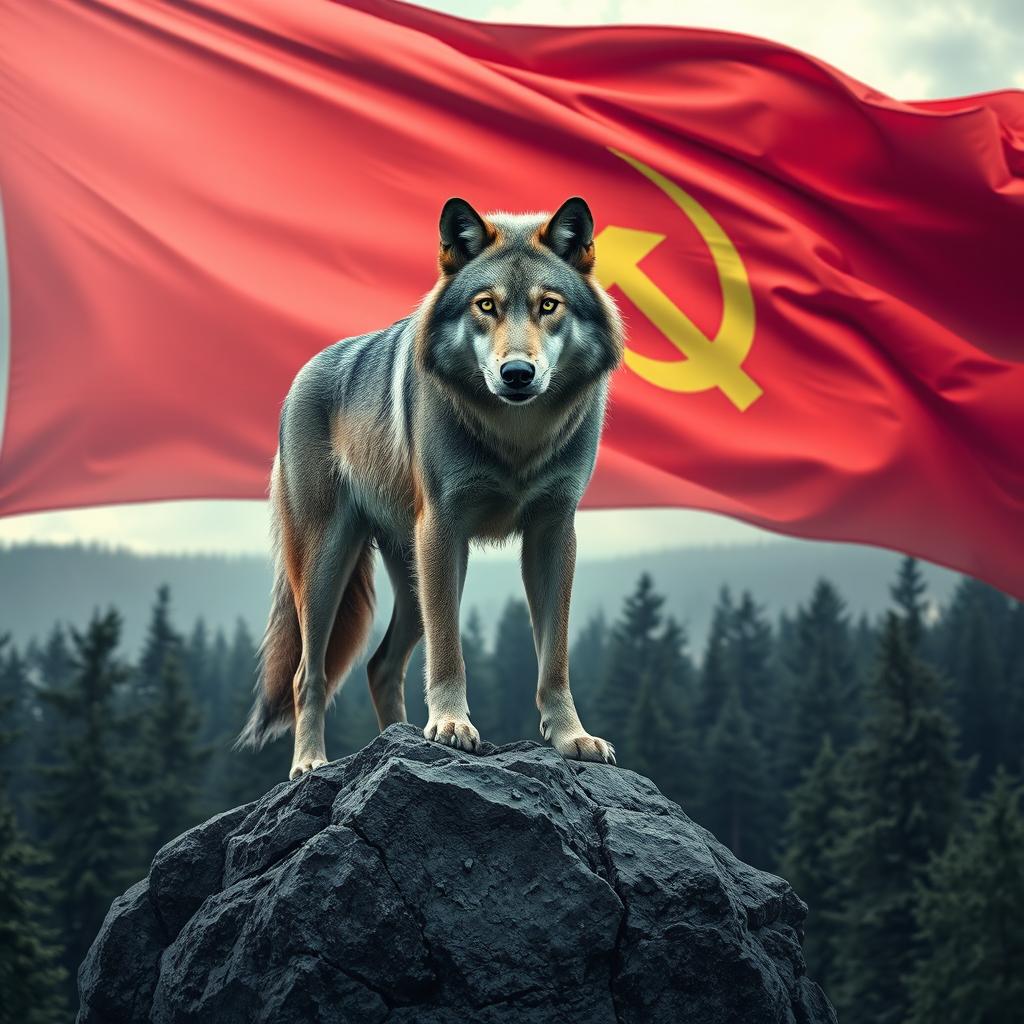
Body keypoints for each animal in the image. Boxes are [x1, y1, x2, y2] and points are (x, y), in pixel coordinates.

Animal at [238, 196, 624, 778]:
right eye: (486, 306)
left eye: (548, 305)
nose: (517, 373)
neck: (517, 439)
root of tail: (302, 375)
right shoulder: (443, 527)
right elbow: (449, 650)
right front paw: (449, 726)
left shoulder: (554, 531)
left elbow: (554, 657)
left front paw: (571, 737)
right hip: (331, 564)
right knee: (309, 673)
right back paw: (310, 762)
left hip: (412, 571)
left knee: (379, 664)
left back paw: (395, 739)